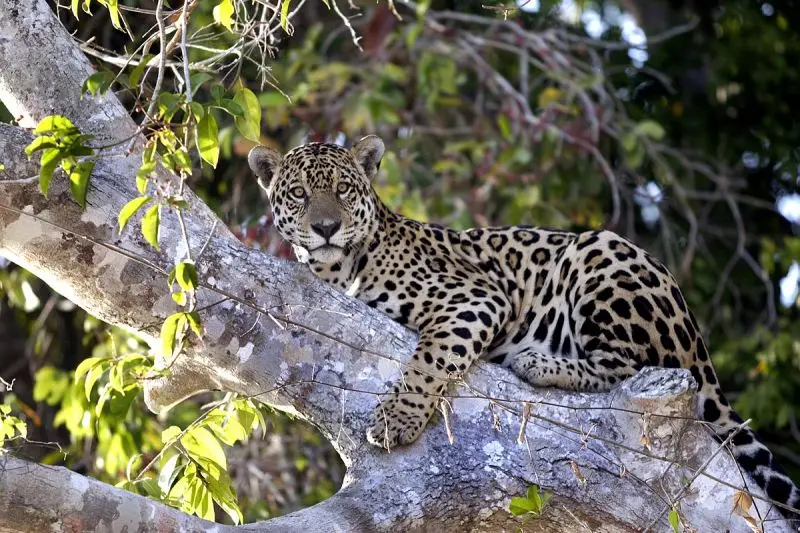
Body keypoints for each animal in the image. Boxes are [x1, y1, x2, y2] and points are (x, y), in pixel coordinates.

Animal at [248, 135, 800, 523]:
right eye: (299, 194)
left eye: (343, 190)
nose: (325, 228)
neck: (336, 269)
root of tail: (699, 341)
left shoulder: (475, 298)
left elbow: (429, 359)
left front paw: (396, 420)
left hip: (598, 251)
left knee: (627, 366)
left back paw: (539, 362)